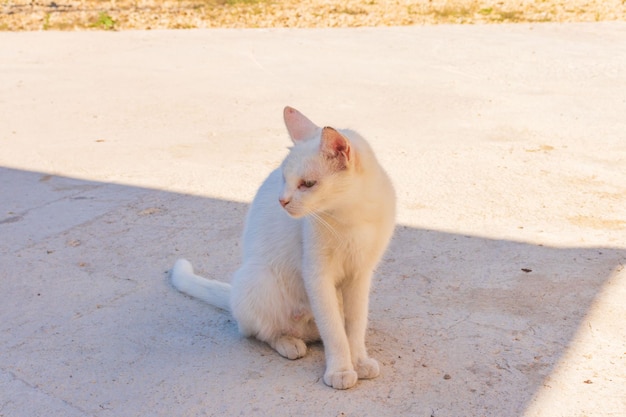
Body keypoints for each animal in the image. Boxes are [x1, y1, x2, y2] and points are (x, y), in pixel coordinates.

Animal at [171, 105, 394, 388]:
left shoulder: (360, 274)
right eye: (284, 178)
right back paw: (289, 344)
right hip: (257, 278)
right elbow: (333, 330)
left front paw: (359, 361)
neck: (350, 216)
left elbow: (354, 326)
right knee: (261, 332)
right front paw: (341, 370)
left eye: (307, 184)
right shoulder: (317, 275)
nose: (282, 201)